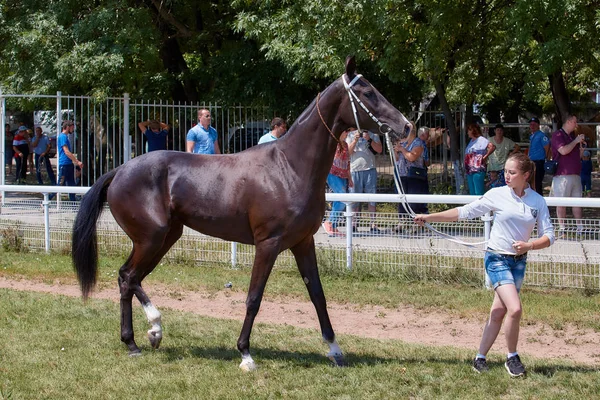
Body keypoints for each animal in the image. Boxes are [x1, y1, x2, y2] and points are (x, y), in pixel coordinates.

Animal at [70, 57, 408, 372]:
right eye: (368, 92)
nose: (406, 126)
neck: (289, 167)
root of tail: (119, 171)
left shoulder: (303, 243)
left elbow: (318, 296)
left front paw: (335, 350)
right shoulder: (268, 244)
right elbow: (254, 298)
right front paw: (245, 354)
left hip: (166, 238)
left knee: (130, 278)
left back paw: (141, 338)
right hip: (151, 238)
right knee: (128, 277)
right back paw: (148, 331)